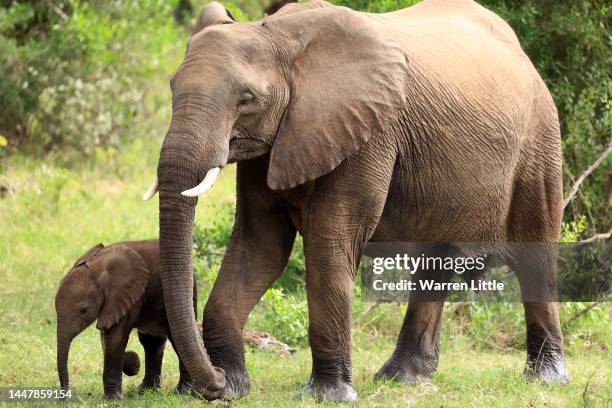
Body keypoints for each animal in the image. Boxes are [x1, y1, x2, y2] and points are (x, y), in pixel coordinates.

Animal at [54, 239, 195, 398]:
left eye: (84, 310)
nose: (64, 399)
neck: (99, 269)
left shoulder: (127, 294)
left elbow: (114, 338)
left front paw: (113, 399)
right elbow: (107, 336)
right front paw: (131, 363)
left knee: (177, 339)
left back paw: (182, 392)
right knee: (151, 342)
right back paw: (145, 391)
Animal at [143, 0, 568, 402]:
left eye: (247, 99)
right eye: (173, 88)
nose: (207, 380)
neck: (280, 36)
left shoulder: (369, 130)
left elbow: (330, 242)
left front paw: (328, 395)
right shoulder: (272, 144)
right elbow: (259, 244)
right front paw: (230, 388)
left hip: (539, 140)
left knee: (535, 253)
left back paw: (547, 378)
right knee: (436, 258)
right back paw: (404, 378)